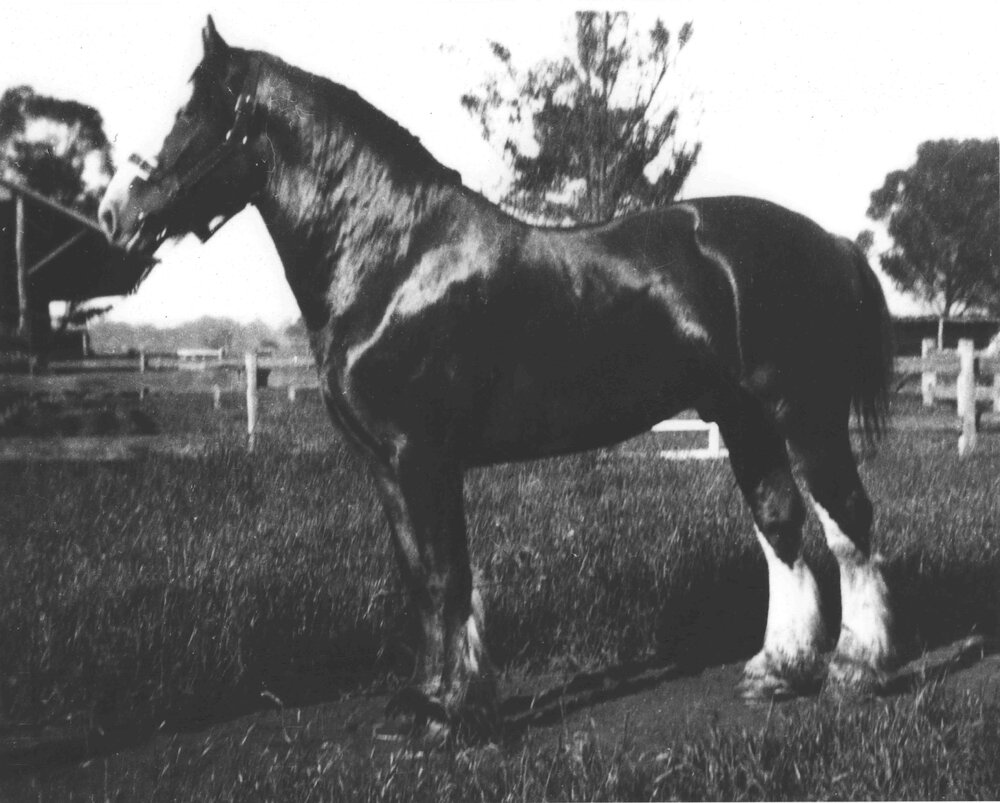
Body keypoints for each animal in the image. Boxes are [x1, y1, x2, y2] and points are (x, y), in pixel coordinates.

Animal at [99, 17, 896, 732]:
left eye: (193, 114)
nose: (115, 213)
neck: (395, 259)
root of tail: (828, 241)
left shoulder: (422, 457)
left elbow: (446, 575)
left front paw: (451, 712)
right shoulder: (387, 465)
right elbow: (419, 578)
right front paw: (424, 700)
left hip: (804, 416)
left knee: (849, 524)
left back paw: (855, 670)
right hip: (744, 419)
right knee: (781, 525)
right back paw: (777, 671)